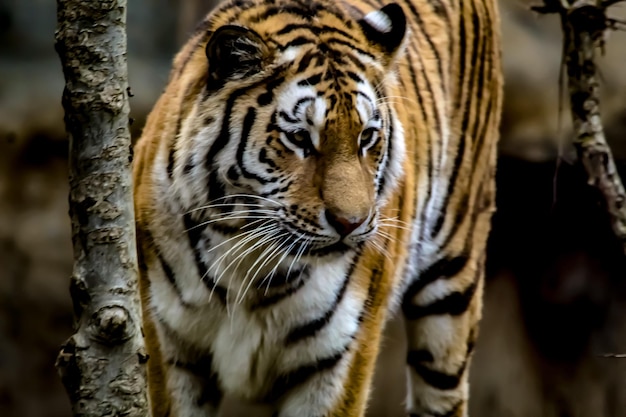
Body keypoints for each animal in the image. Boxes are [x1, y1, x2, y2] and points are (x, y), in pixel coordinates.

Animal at [133, 0, 502, 414]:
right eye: (299, 138)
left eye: (366, 137)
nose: (350, 223)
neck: (246, 258)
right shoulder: (168, 343)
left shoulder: (337, 358)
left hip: (451, 289)